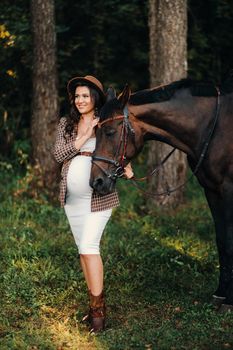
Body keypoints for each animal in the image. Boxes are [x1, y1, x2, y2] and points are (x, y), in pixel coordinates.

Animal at [90, 76, 233, 312]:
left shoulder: (228, 190)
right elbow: (222, 240)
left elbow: (230, 241)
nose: (96, 182)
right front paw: (221, 294)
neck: (214, 128)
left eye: (110, 131)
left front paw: (229, 300)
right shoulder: (212, 190)